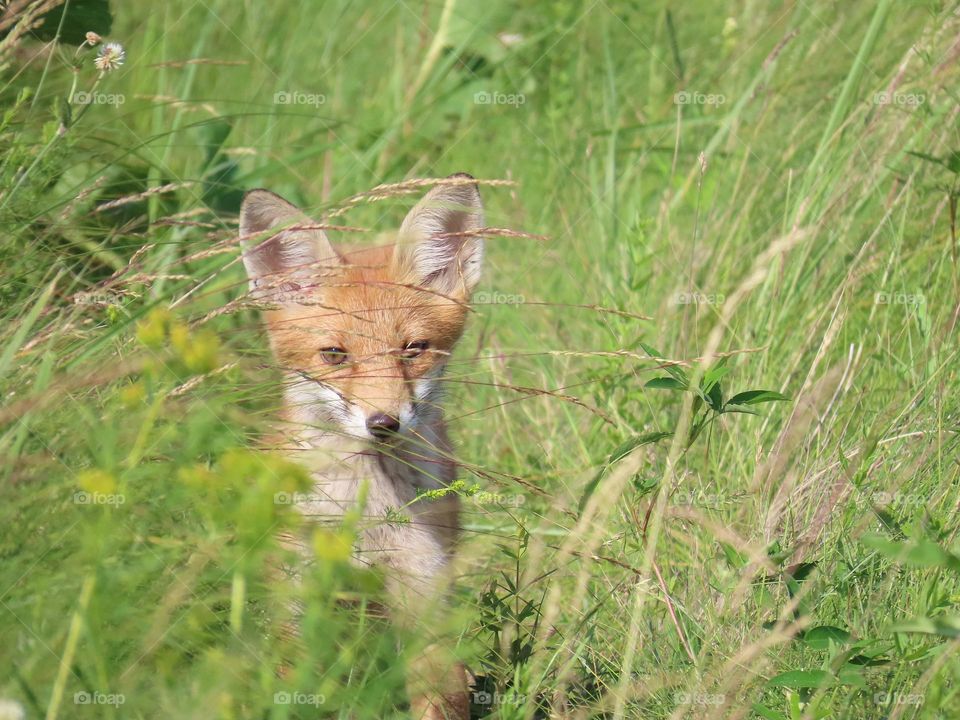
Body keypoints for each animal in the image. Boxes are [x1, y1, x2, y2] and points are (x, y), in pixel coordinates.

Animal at [239, 174, 484, 719]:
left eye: (413, 349)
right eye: (335, 354)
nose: (383, 423)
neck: (367, 513)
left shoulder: (424, 590)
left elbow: (441, 695)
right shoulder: (296, 597)